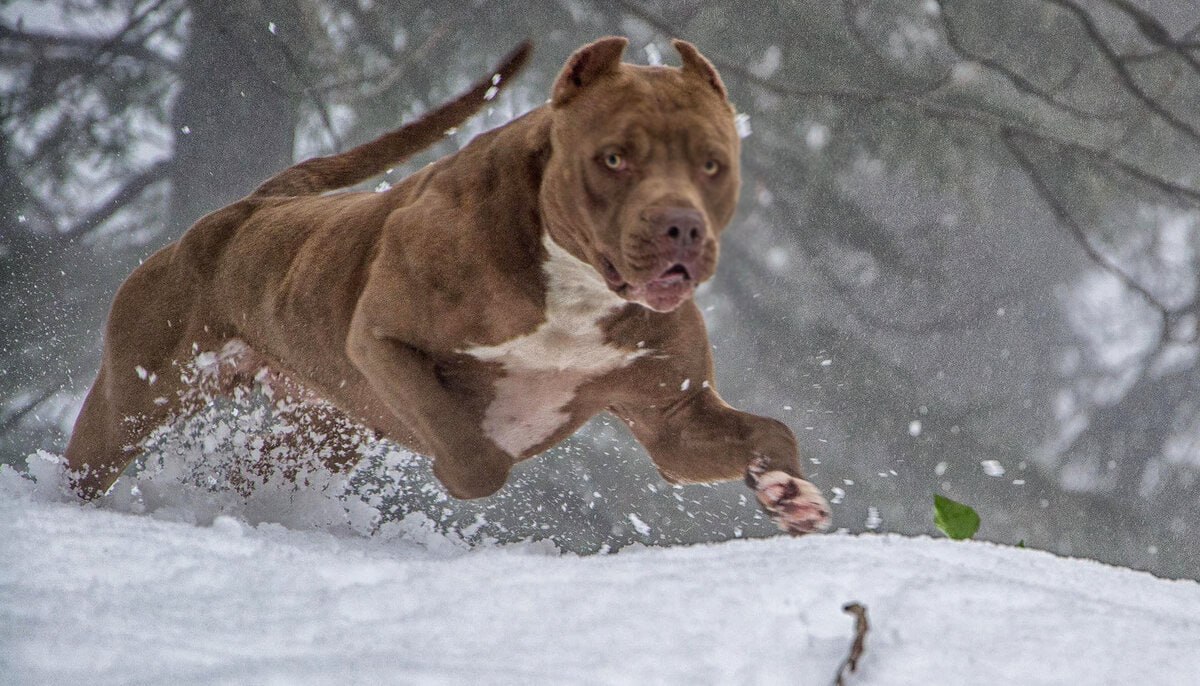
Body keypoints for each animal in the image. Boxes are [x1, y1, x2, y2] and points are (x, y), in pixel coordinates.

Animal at [65, 37, 830, 534]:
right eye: (614, 158)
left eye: (712, 163)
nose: (681, 228)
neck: (576, 282)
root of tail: (258, 203)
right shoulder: (384, 342)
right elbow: (475, 456)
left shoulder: (673, 416)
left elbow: (771, 432)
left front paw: (785, 491)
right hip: (137, 390)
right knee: (95, 455)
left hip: (319, 428)